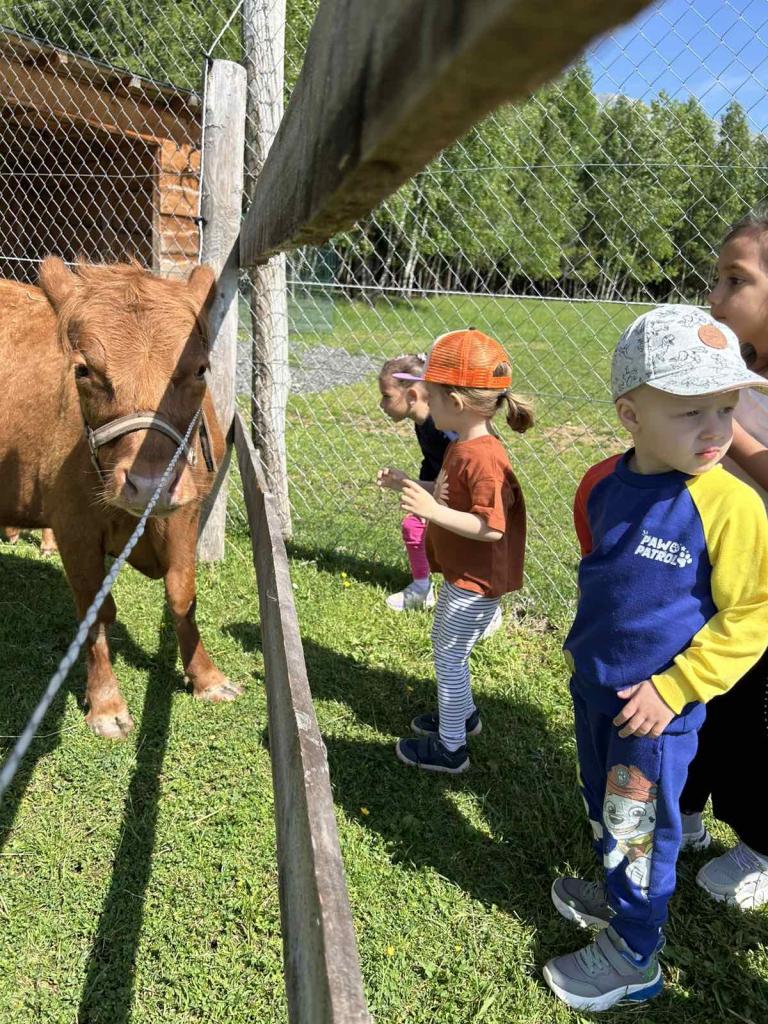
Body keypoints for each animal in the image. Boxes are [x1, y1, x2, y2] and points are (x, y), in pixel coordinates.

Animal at [0, 257, 242, 738]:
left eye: (201, 369)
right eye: (83, 370)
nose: (149, 484)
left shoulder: (186, 512)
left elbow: (182, 596)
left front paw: (207, 677)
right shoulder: (73, 527)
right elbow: (95, 613)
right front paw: (106, 704)